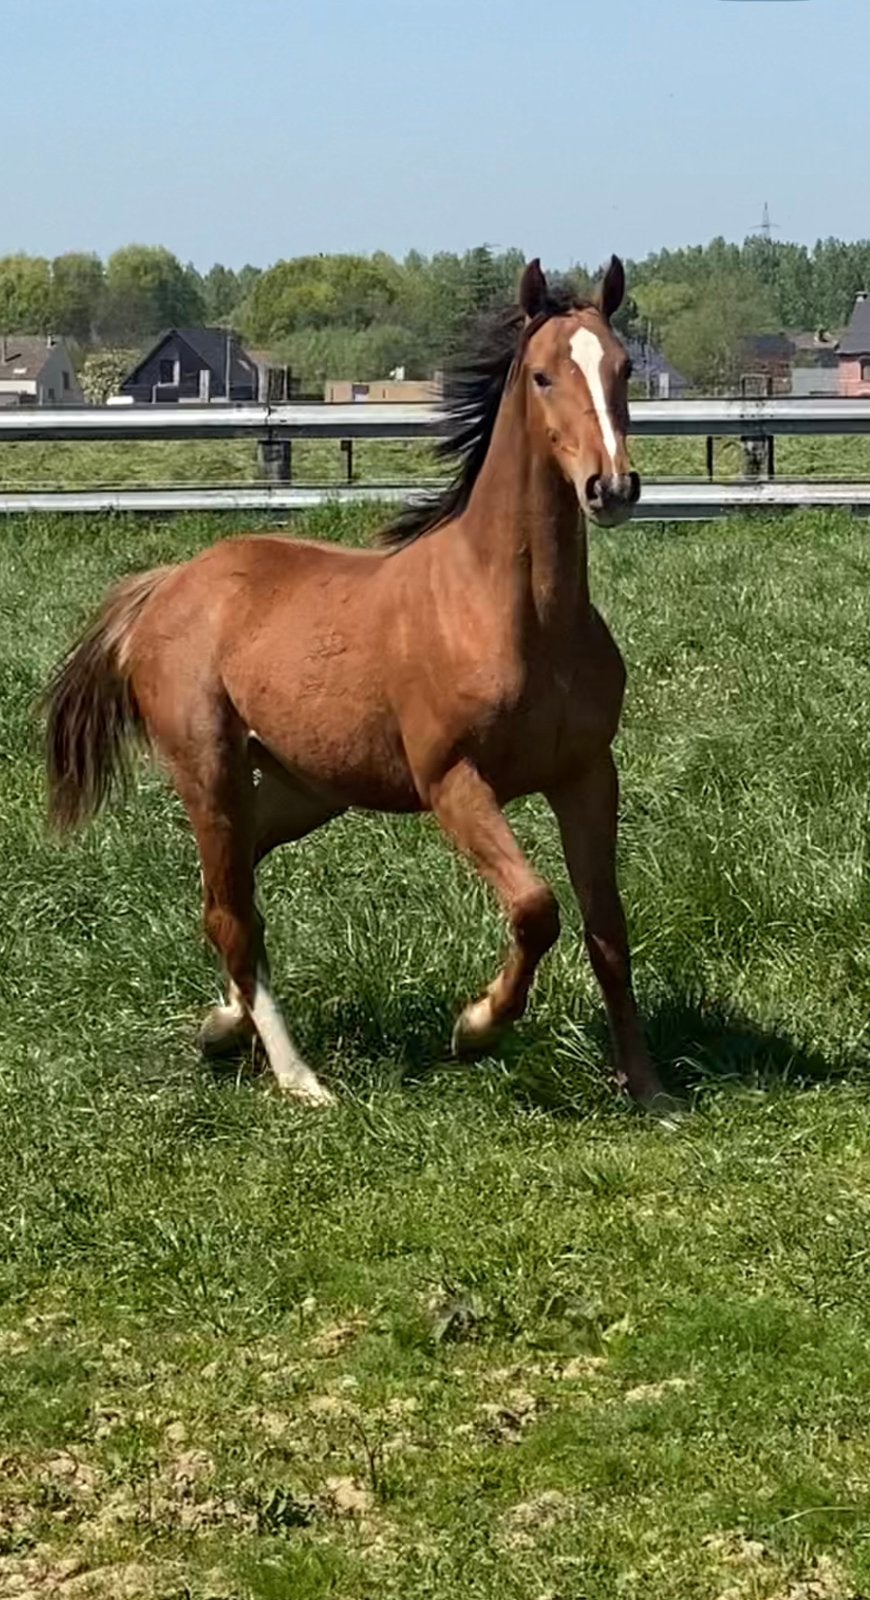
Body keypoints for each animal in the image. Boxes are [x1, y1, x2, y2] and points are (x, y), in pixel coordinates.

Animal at [44, 255, 665, 1111]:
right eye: (542, 376)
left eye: (624, 368)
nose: (612, 489)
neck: (516, 617)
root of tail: (170, 582)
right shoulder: (453, 782)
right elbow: (538, 909)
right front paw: (474, 1028)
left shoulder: (586, 774)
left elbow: (609, 929)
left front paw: (649, 1090)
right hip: (209, 768)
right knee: (231, 913)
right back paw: (301, 1079)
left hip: (305, 786)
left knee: (233, 888)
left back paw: (222, 1025)